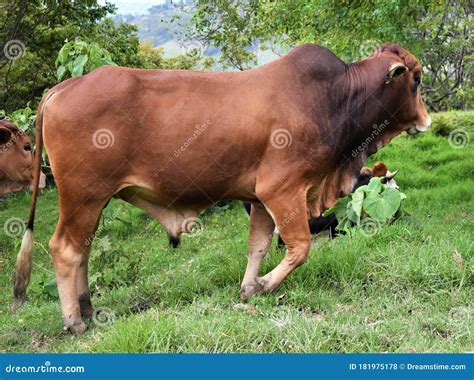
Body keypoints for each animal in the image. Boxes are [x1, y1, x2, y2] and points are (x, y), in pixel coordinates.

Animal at [13, 43, 430, 332]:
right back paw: (74, 321)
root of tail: (64, 85)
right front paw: (263, 285)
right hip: (82, 196)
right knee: (65, 249)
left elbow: (259, 246)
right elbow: (299, 248)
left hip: (92, 201)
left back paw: (86, 306)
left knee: (82, 249)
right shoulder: (283, 190)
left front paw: (248, 288)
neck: (334, 97)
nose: (426, 120)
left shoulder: (260, 199)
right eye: (416, 79)